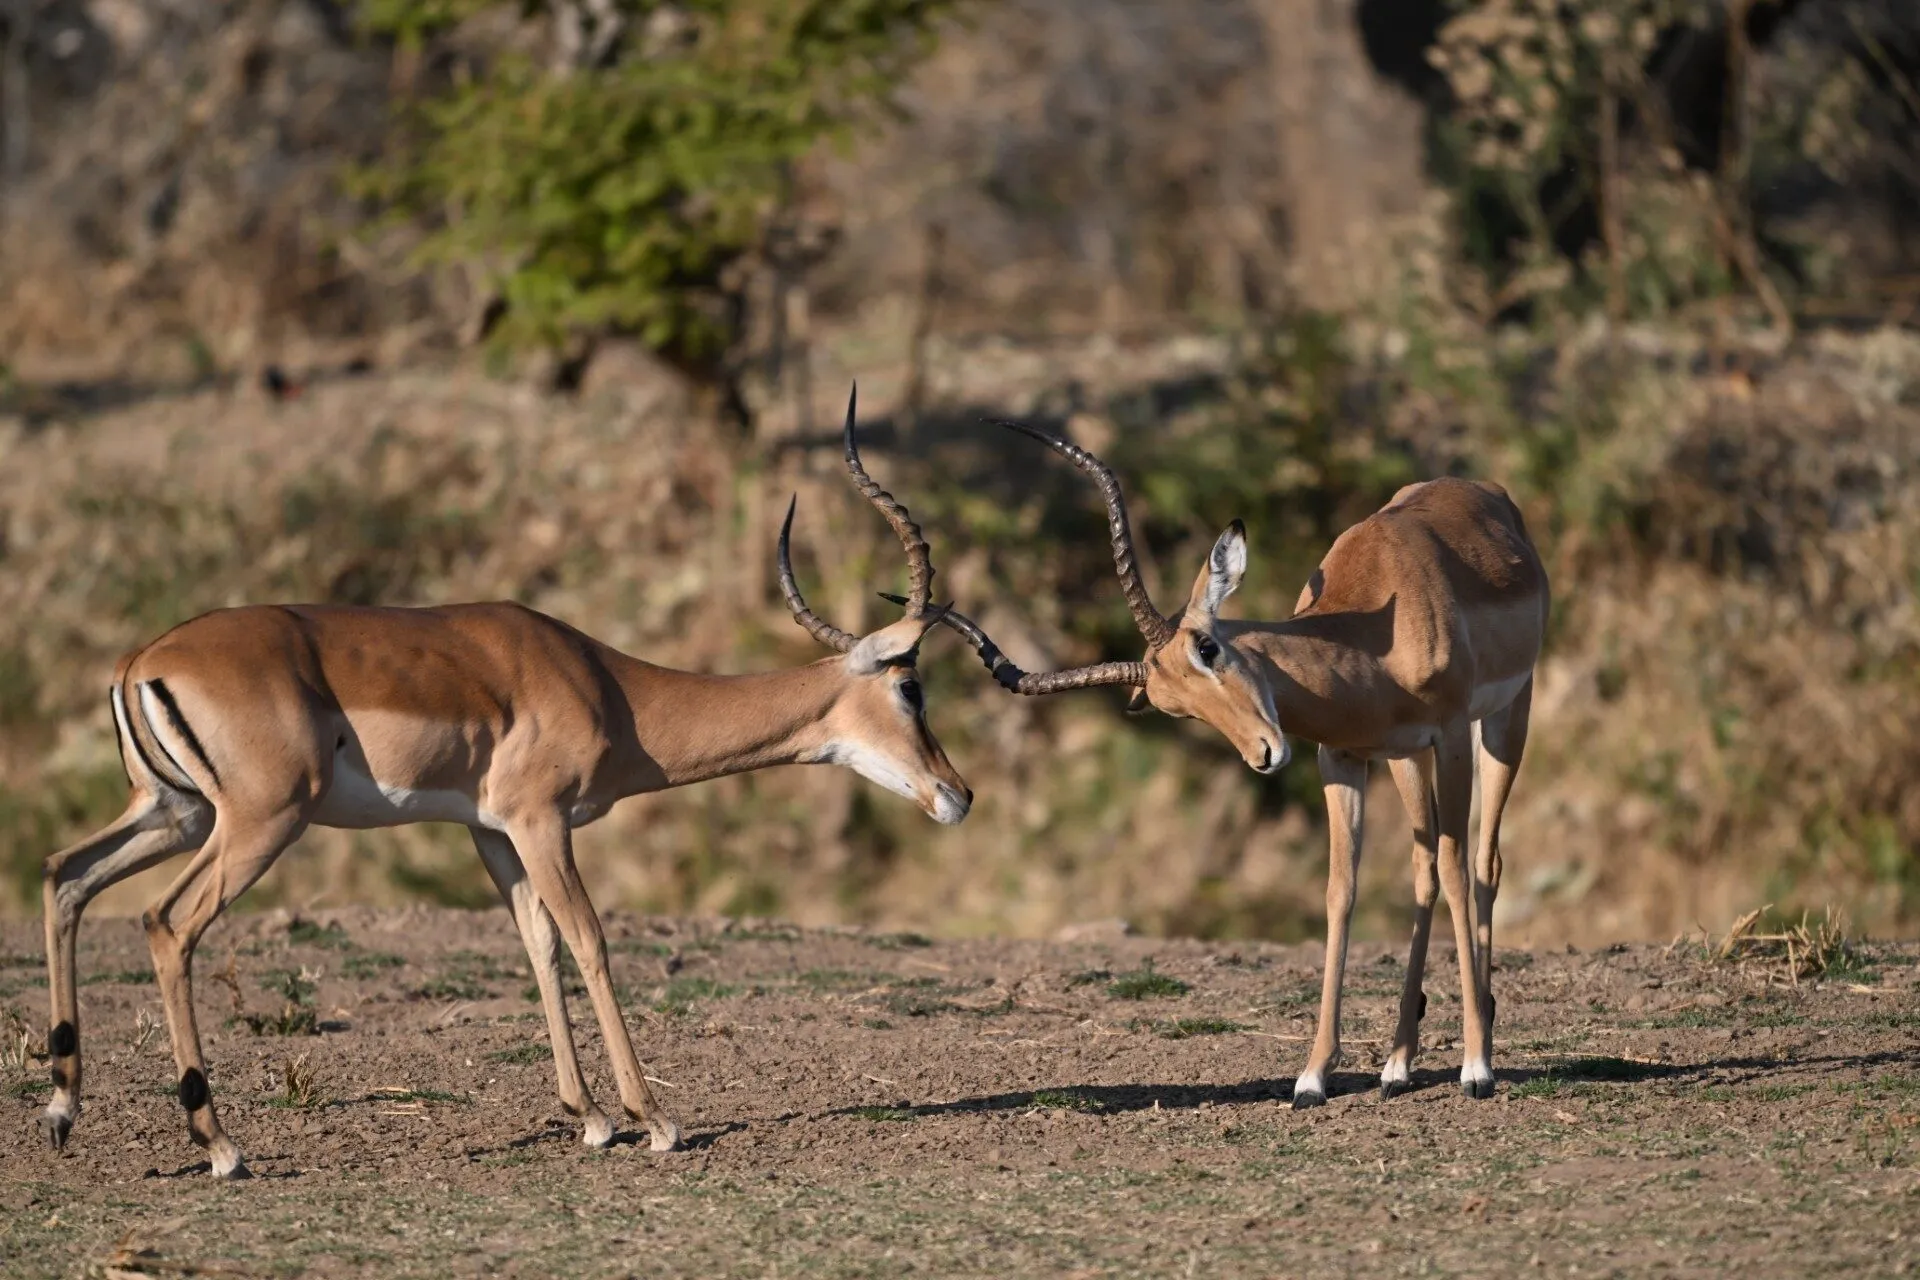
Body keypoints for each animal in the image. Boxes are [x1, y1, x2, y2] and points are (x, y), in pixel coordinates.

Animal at [38, 388, 972, 1178]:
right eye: (911, 687)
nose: (956, 794)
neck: (606, 685)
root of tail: (140, 660)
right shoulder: (540, 820)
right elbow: (590, 940)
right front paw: (655, 1121)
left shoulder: (491, 830)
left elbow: (538, 944)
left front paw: (589, 1117)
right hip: (258, 822)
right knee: (166, 923)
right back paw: (220, 1144)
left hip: (177, 813)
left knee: (64, 876)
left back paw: (62, 1110)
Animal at [913, 420, 1548, 1106]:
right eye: (1174, 708)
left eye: (1208, 647)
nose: (1263, 754)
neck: (1374, 632)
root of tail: (1484, 491)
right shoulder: (1340, 757)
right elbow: (1341, 891)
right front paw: (1313, 1075)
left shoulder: (1451, 734)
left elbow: (1460, 871)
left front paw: (1476, 1067)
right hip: (1405, 760)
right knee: (1423, 870)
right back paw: (1398, 1064)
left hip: (1505, 721)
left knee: (1481, 862)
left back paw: (1482, 1035)